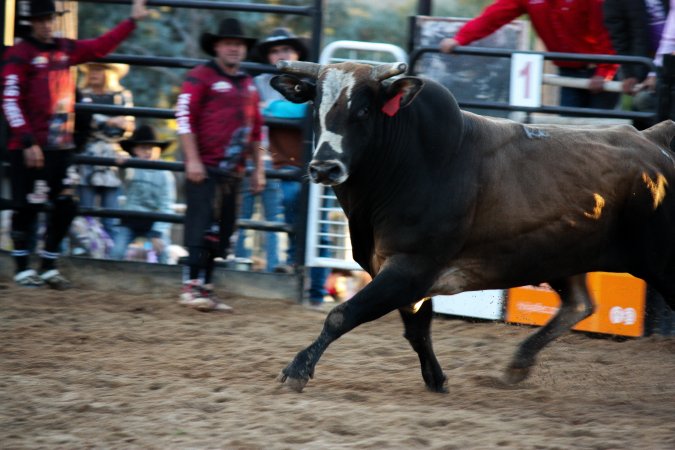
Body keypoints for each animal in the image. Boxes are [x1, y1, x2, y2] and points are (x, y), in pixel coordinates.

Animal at [270, 60, 675, 393]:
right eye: (316, 106)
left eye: (364, 109)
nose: (325, 167)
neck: (409, 162)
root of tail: (653, 139)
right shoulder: (400, 274)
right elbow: (417, 329)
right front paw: (436, 379)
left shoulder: (410, 268)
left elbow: (343, 314)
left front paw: (297, 369)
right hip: (560, 259)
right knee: (578, 305)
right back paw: (518, 365)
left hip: (658, 261)